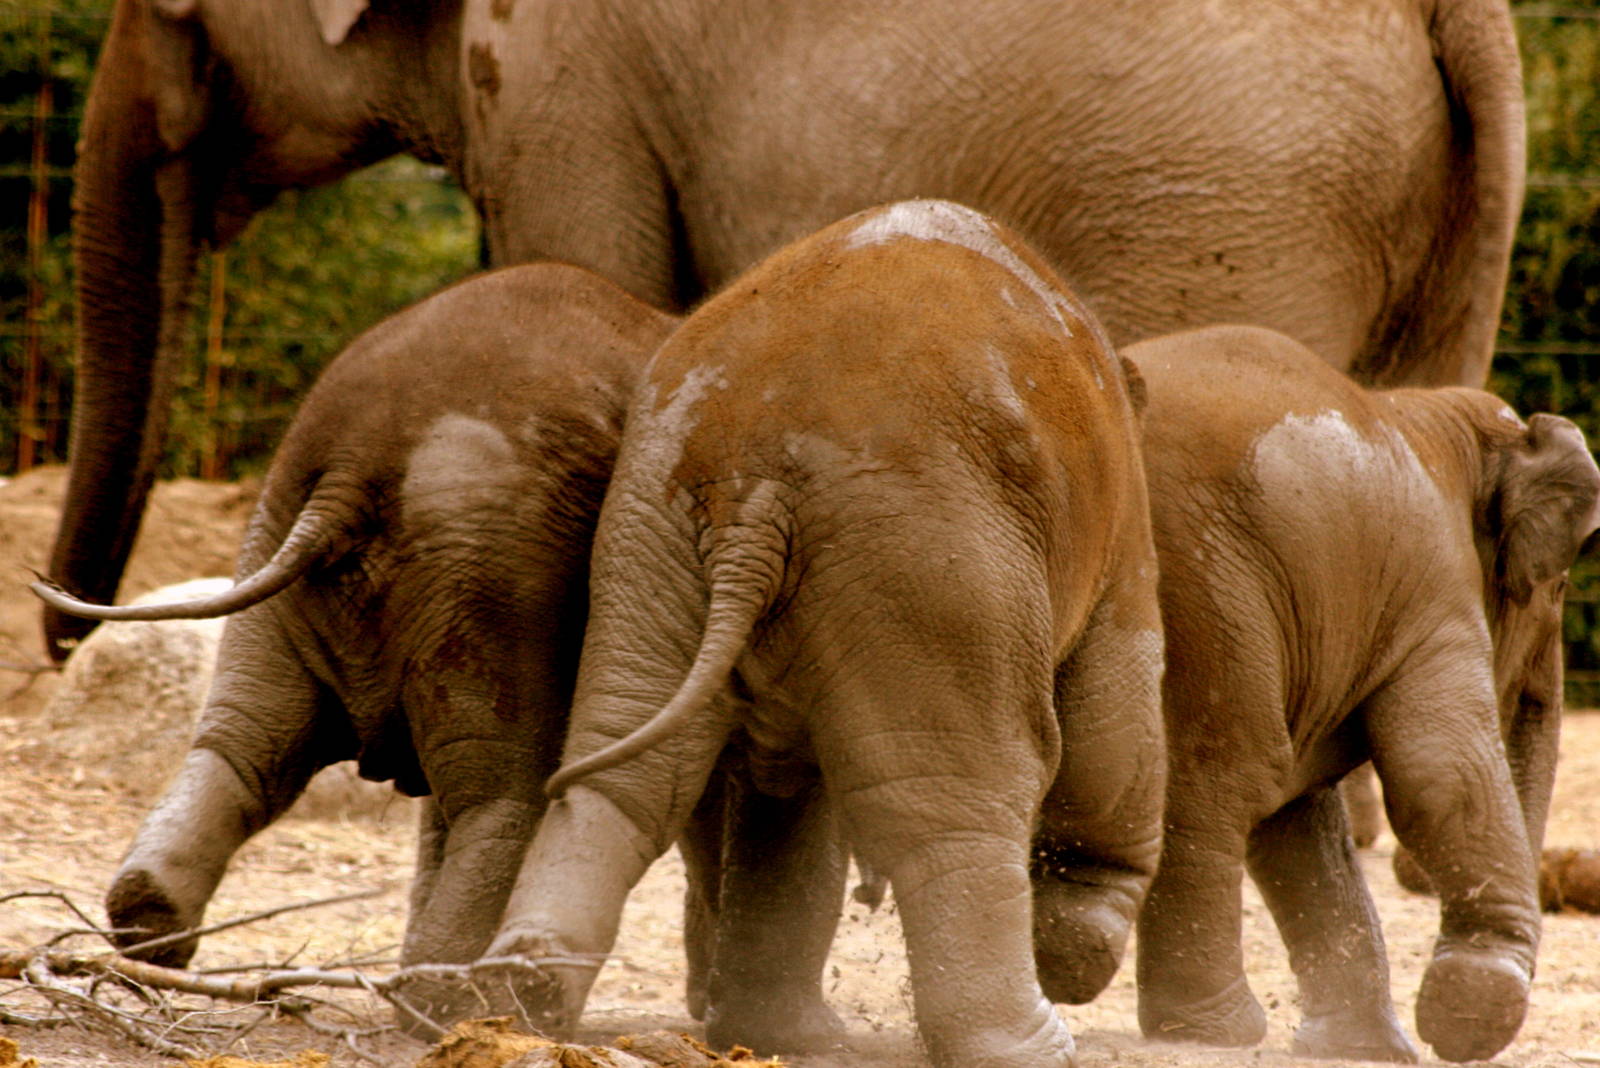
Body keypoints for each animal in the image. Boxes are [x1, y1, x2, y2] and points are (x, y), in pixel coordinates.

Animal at [32, 263, 678, 1032]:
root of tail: (350, 469)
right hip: (494, 563)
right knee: (503, 790)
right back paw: (446, 1007)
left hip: (289, 525)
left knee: (249, 748)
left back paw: (152, 926)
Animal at [47, 0, 1526, 662]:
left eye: (174, 14)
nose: (65, 635)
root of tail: (1460, 13)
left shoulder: (563, 79)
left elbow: (582, 275)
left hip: (1222, 191)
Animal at [464, 200, 1167, 1068]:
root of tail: (751, 482)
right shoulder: (1121, 526)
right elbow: (1114, 724)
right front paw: (1077, 956)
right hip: (921, 550)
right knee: (957, 799)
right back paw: (1038, 1047)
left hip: (650, 532)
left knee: (627, 769)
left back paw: (524, 999)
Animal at [1122, 325, 1600, 1064]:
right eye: (1558, 581)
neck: (1433, 419)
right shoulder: (1433, 582)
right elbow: (1439, 772)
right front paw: (1470, 1005)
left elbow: (1297, 821)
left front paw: (1364, 1047)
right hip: (1200, 586)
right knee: (1219, 775)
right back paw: (1215, 1032)